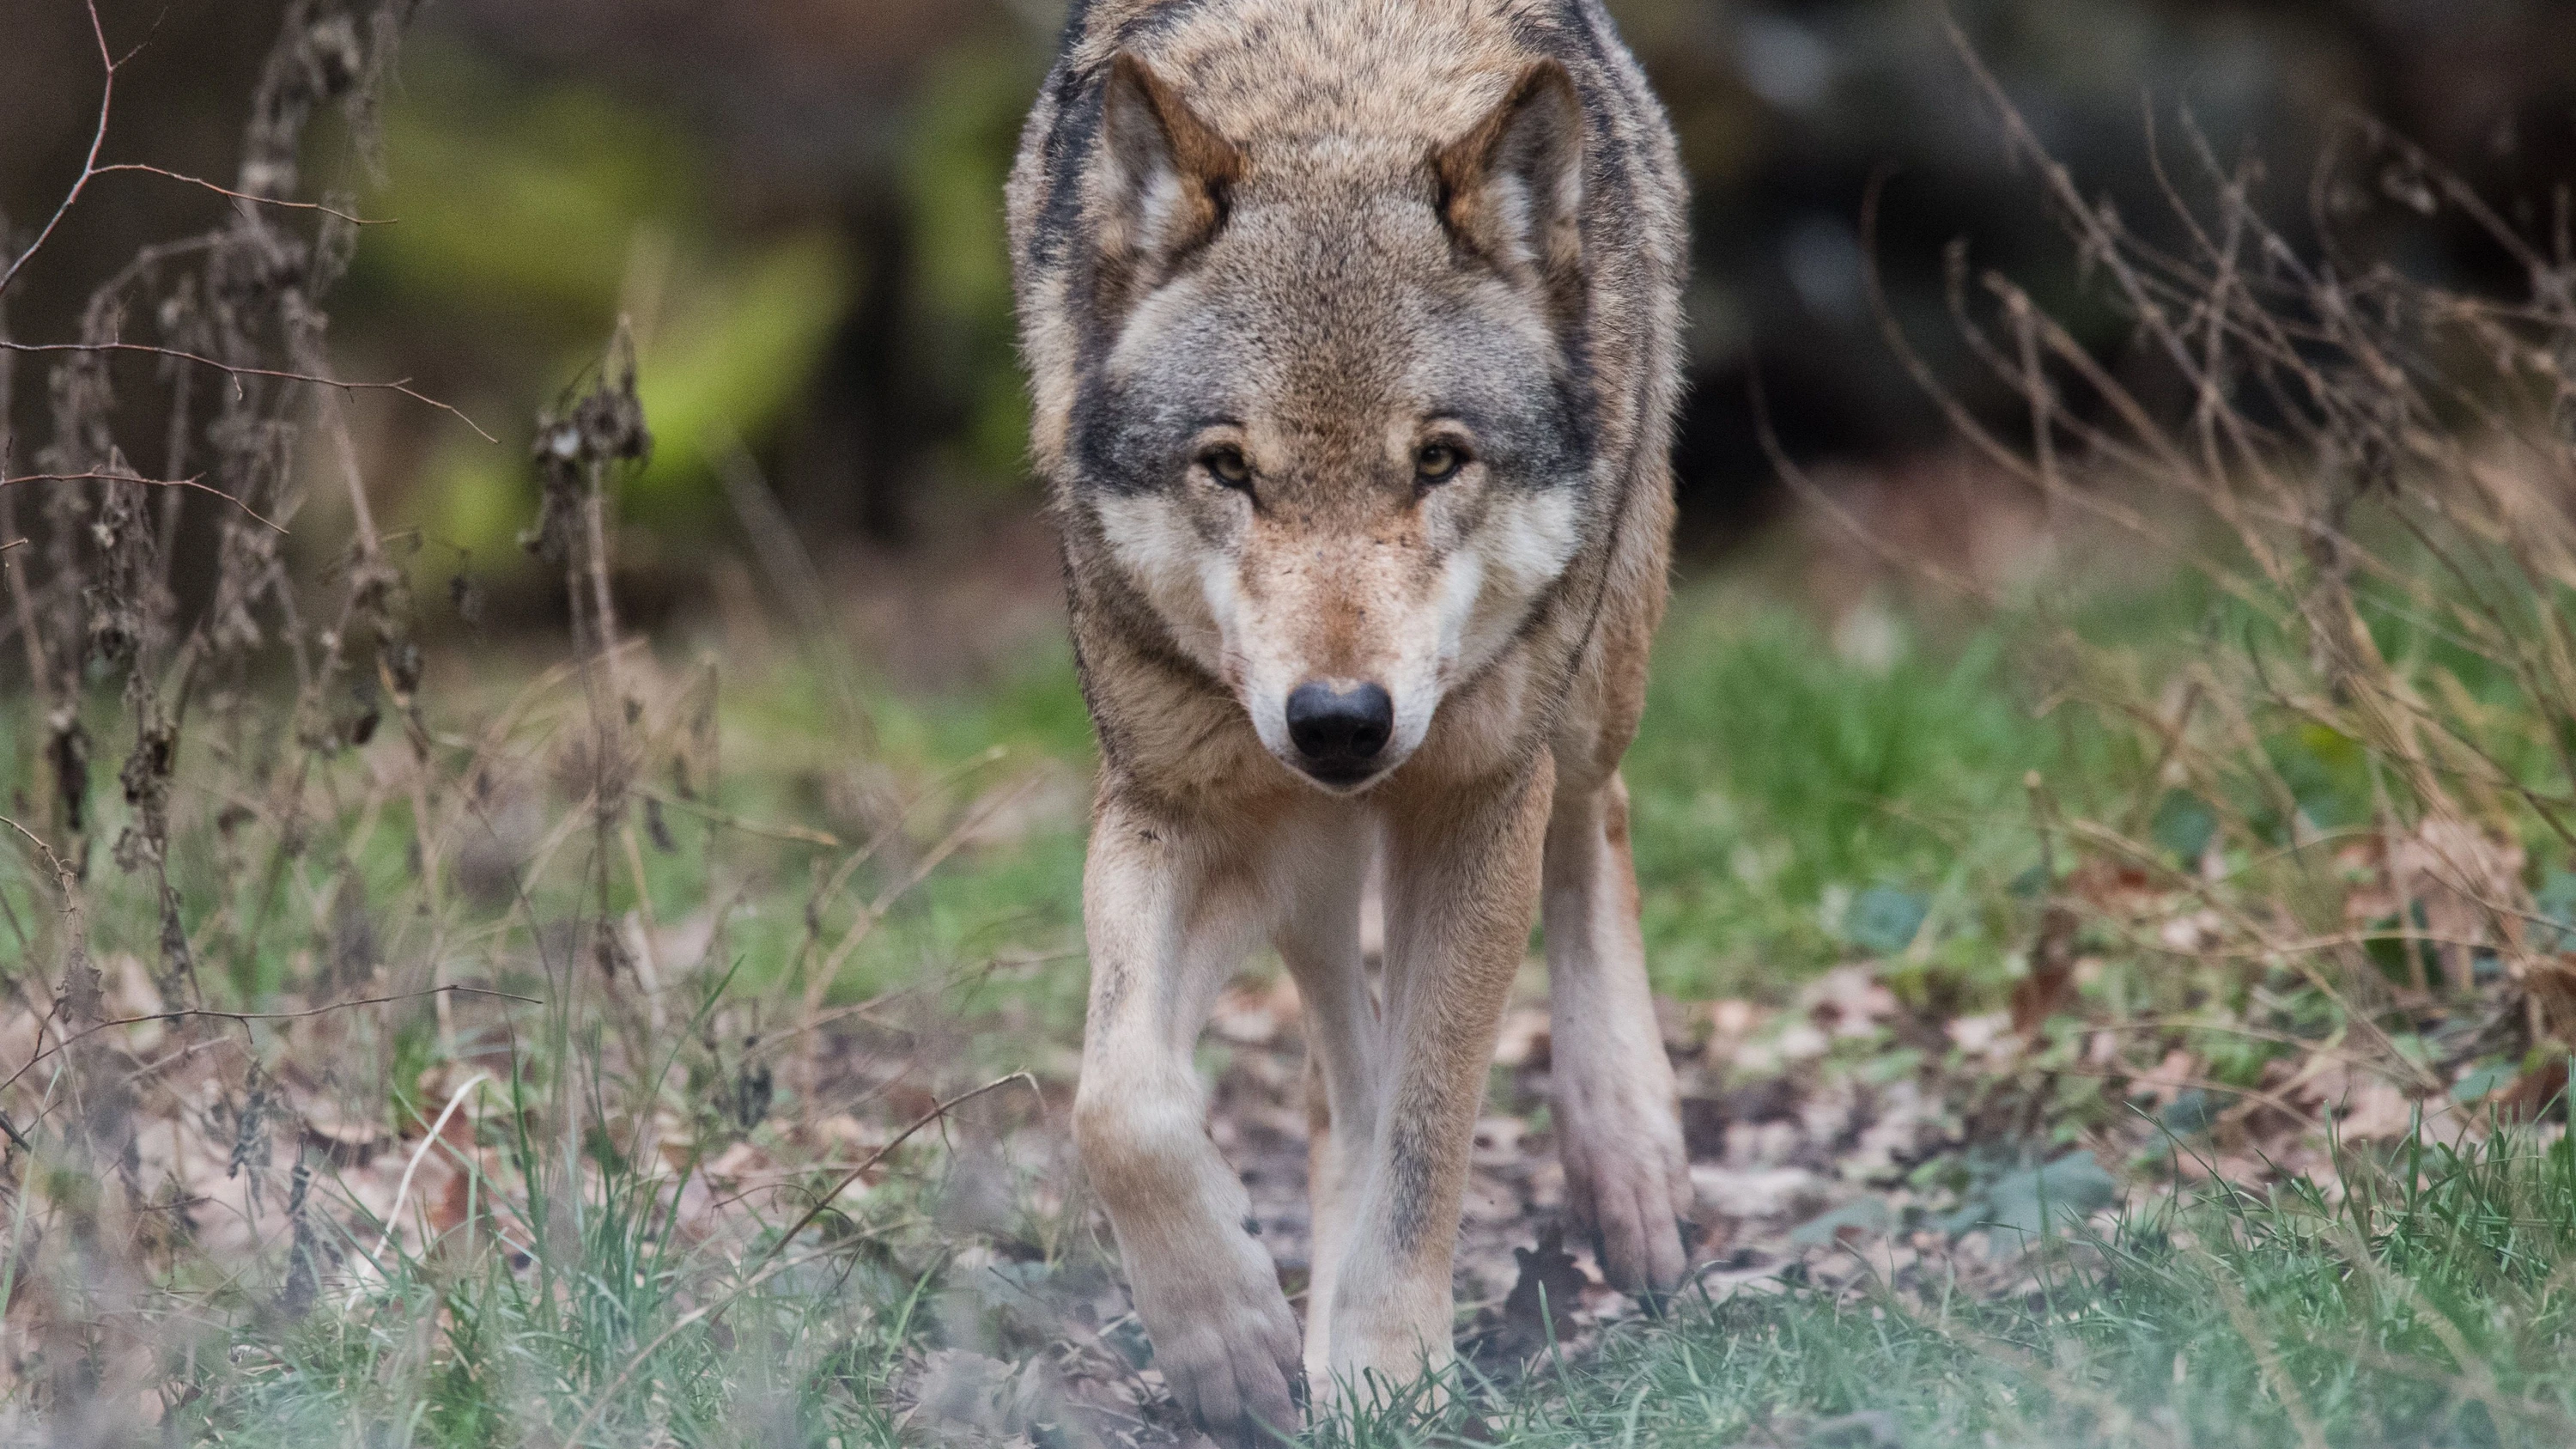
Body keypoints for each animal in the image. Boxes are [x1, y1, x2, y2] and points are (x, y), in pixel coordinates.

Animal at [1007, 0, 1690, 1439]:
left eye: (1437, 458)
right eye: (1228, 465)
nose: (1339, 721)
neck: (1339, 96)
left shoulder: (1476, 799)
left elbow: (1430, 1137)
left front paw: (1383, 1363)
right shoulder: (1180, 803)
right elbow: (1120, 1102)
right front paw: (1232, 1338)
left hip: (1590, 673)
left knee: (1595, 815)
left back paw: (1630, 1158)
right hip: (1304, 853)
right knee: (1337, 1058)